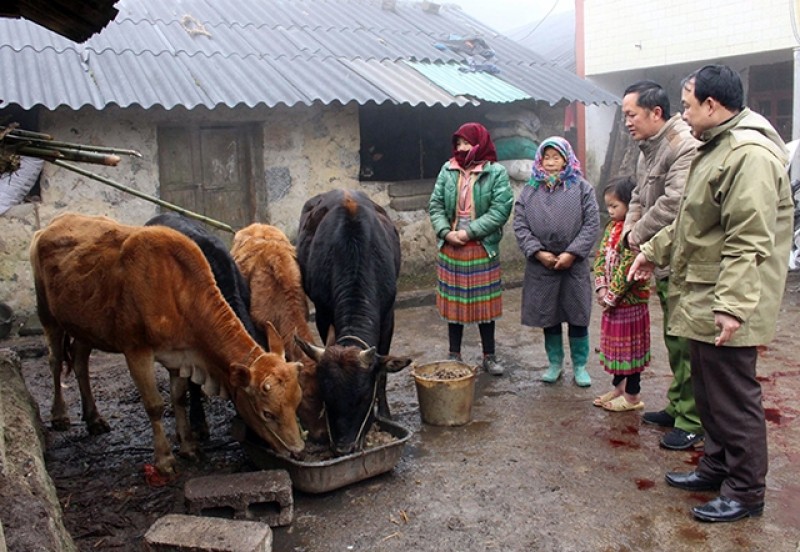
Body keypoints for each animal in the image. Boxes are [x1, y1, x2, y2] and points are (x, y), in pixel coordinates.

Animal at [29, 211, 304, 474]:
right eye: (267, 413)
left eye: (297, 402)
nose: (298, 450)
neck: (178, 290)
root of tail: (50, 226)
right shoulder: (136, 351)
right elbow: (154, 405)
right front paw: (165, 459)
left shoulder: (179, 354)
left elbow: (179, 397)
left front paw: (188, 446)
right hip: (47, 315)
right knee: (55, 361)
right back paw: (60, 415)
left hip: (85, 326)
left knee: (79, 361)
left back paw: (93, 418)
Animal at [296, 188, 416, 454]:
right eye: (326, 396)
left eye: (363, 397)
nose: (343, 448)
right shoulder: (323, 312)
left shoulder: (388, 314)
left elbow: (382, 372)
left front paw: (384, 413)